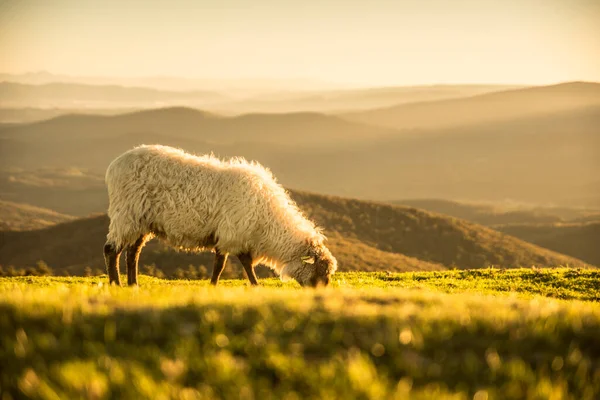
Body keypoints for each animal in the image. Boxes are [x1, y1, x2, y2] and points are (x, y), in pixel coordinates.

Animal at [103, 145, 338, 286]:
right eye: (320, 271)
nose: (320, 292)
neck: (267, 223)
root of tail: (115, 165)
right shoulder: (233, 232)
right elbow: (234, 263)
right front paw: (252, 285)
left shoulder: (229, 234)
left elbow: (226, 262)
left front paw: (218, 284)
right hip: (126, 214)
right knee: (111, 250)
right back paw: (116, 284)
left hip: (142, 221)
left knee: (133, 253)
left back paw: (133, 284)